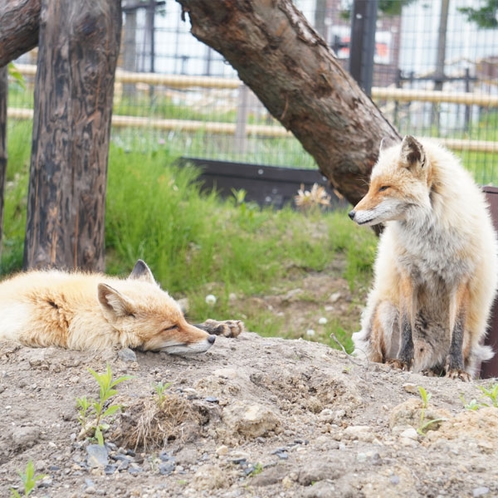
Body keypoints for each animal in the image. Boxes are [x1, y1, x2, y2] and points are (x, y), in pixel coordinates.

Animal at [348, 134, 498, 380]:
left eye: (384, 188)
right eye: (371, 187)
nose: (351, 214)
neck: (430, 244)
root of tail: (425, 354)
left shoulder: (461, 278)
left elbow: (456, 336)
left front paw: (456, 370)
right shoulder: (408, 274)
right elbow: (407, 328)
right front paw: (402, 362)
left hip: (469, 332)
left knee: (445, 353)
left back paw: (434, 370)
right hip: (386, 310)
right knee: (379, 356)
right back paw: (394, 362)